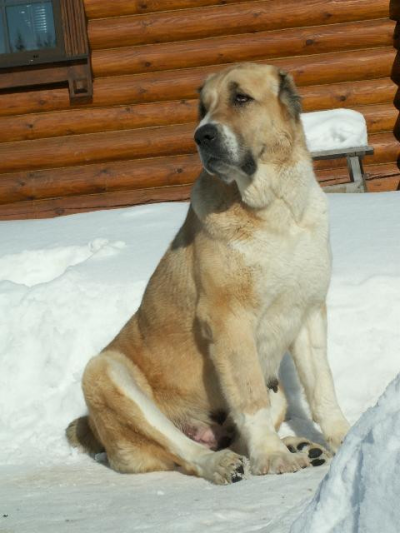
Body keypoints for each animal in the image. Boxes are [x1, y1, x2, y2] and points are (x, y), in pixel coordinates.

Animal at [66, 62, 350, 482]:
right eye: (203, 108)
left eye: (241, 98)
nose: (202, 135)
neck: (275, 209)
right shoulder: (228, 320)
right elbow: (248, 395)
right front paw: (273, 456)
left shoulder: (310, 311)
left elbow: (323, 386)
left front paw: (344, 436)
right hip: (104, 371)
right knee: (183, 449)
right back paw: (223, 462)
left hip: (278, 389)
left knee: (239, 435)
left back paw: (299, 446)